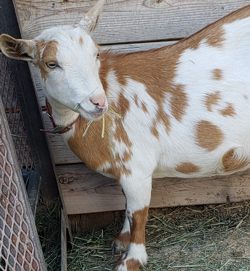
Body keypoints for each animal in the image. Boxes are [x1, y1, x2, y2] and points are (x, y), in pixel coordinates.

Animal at [1, 1, 250, 270]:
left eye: (96, 54)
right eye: (51, 64)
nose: (98, 102)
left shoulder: (136, 167)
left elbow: (137, 213)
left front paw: (132, 259)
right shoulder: (124, 169)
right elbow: (126, 205)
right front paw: (121, 239)